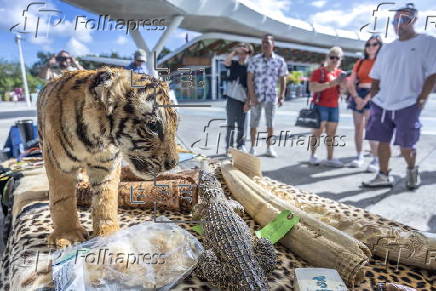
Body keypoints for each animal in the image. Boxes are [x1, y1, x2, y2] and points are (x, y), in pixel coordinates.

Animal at [37, 66, 179, 249]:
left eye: (176, 124)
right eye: (153, 126)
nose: (172, 164)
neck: (97, 140)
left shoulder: (106, 166)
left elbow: (106, 199)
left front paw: (108, 234)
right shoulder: (60, 165)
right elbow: (62, 199)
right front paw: (68, 235)